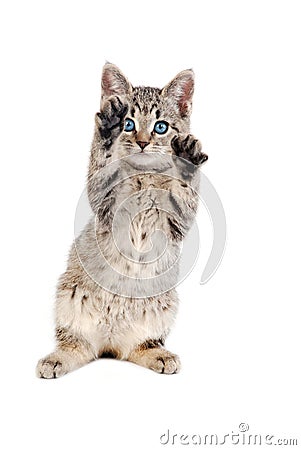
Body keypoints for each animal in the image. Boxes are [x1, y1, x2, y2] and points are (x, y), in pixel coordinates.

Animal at [36, 63, 207, 378]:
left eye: (160, 127)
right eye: (128, 124)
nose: (142, 142)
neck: (143, 178)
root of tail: (110, 344)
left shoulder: (178, 224)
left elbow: (185, 194)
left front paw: (187, 159)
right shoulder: (103, 203)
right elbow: (101, 162)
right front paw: (106, 128)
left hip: (163, 307)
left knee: (138, 347)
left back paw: (157, 354)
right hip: (69, 298)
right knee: (75, 344)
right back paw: (57, 359)